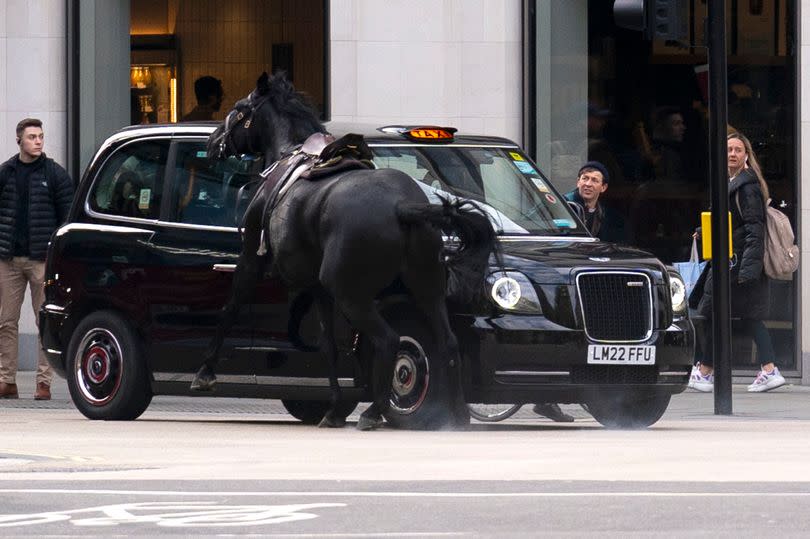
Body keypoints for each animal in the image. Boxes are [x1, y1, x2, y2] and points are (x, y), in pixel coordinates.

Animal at [193, 74, 496, 432]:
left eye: (239, 109)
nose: (213, 141)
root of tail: (402, 206)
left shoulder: (253, 258)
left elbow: (230, 308)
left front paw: (204, 372)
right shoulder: (317, 287)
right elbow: (329, 346)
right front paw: (335, 407)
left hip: (351, 293)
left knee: (389, 340)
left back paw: (374, 411)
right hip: (426, 286)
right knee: (447, 341)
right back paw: (457, 414)